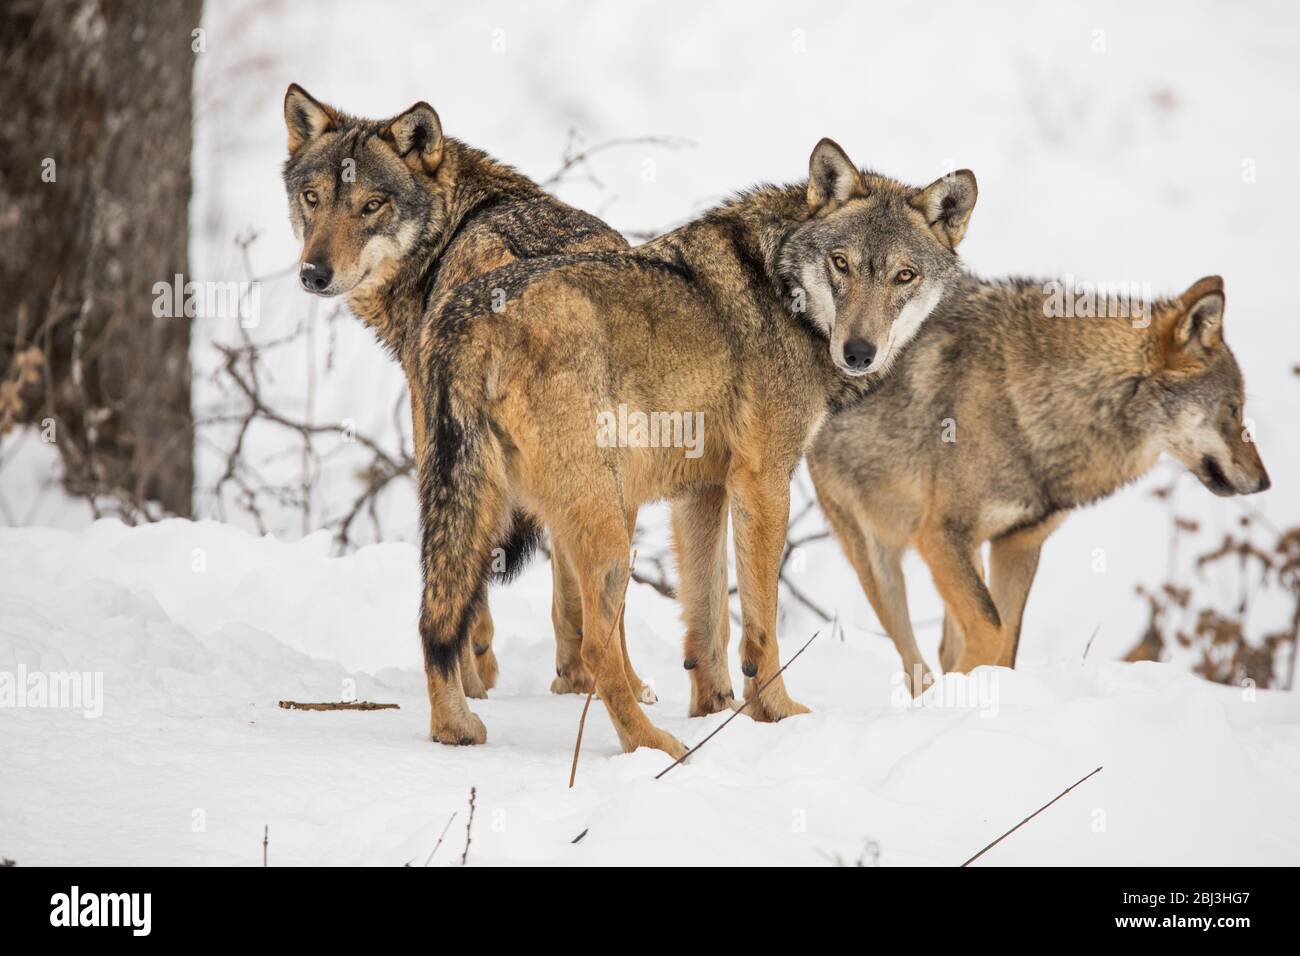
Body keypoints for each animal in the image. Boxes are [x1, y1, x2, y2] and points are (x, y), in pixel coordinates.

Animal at [280, 83, 655, 702]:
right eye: (313, 198)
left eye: (372, 206)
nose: (313, 273)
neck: (449, 230)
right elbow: (568, 591)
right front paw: (572, 678)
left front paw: (477, 675)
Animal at [410, 140, 972, 754]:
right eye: (841, 263)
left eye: (904, 275)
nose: (858, 352)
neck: (782, 288)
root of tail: (466, 317)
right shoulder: (763, 481)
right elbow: (759, 624)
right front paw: (777, 713)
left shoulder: (703, 490)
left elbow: (710, 621)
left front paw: (715, 711)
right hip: (607, 523)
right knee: (593, 647)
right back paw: (652, 746)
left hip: (481, 513)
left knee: (434, 622)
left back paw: (455, 729)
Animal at [806, 273, 1274, 691]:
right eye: (1233, 409)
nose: (1265, 484)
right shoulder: (940, 536)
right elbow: (991, 632)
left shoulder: (1019, 543)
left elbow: (1006, 647)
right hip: (877, 558)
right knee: (912, 660)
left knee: (939, 649)